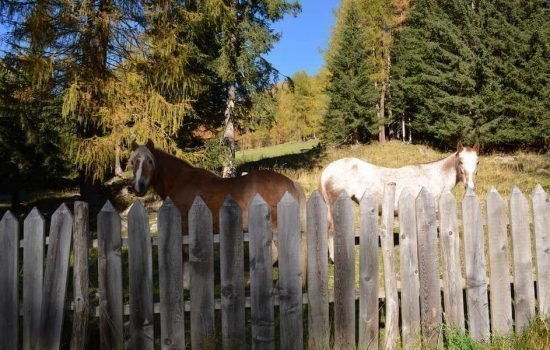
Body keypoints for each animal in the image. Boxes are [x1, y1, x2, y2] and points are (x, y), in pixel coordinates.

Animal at [131, 139, 308, 288]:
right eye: (133, 162)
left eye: (150, 161)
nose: (137, 187)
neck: (180, 182)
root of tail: (290, 183)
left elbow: (185, 257)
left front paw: (186, 284)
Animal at [322, 142, 480, 260]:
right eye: (461, 161)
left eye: (477, 162)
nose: (471, 186)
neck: (432, 177)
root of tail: (326, 171)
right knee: (331, 231)